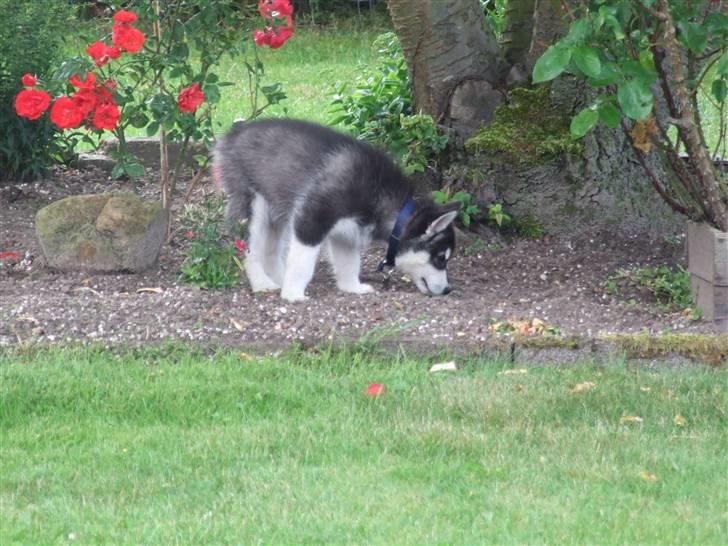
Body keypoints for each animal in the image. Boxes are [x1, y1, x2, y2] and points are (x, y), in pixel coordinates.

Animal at [213, 117, 458, 302]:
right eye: (440, 258)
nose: (448, 290)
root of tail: (233, 134)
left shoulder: (347, 233)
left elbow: (349, 263)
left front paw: (352, 288)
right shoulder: (312, 217)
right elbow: (302, 263)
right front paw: (293, 295)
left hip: (277, 209)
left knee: (272, 250)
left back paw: (279, 279)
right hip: (253, 206)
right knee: (250, 250)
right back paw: (262, 283)